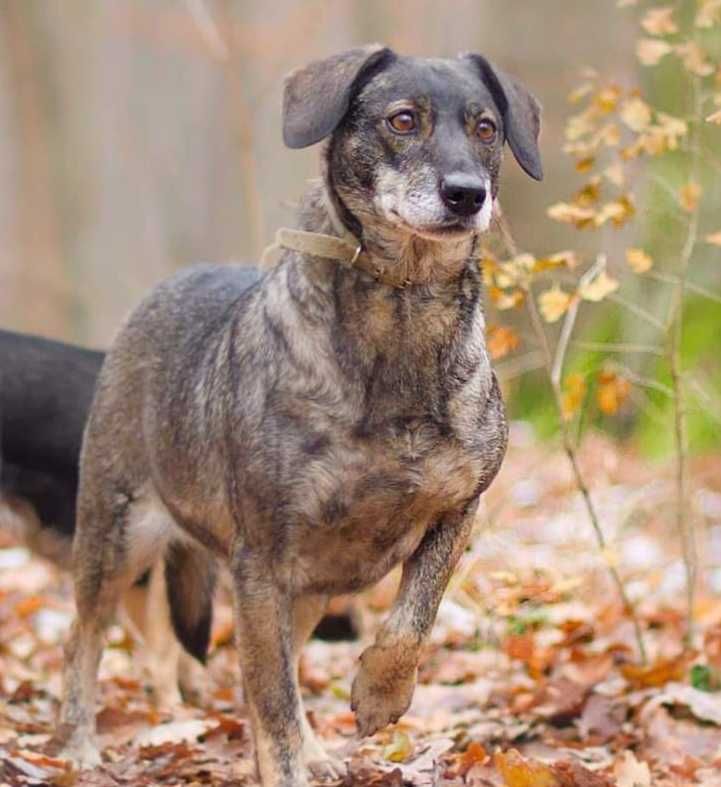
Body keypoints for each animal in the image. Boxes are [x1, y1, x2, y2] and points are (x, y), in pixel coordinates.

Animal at [57, 44, 540, 787]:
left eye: (485, 128)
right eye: (403, 120)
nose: (466, 194)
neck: (401, 318)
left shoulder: (458, 511)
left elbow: (411, 618)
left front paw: (378, 693)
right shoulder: (260, 557)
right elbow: (273, 695)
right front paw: (286, 767)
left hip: (307, 586)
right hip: (116, 538)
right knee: (87, 639)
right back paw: (78, 748)